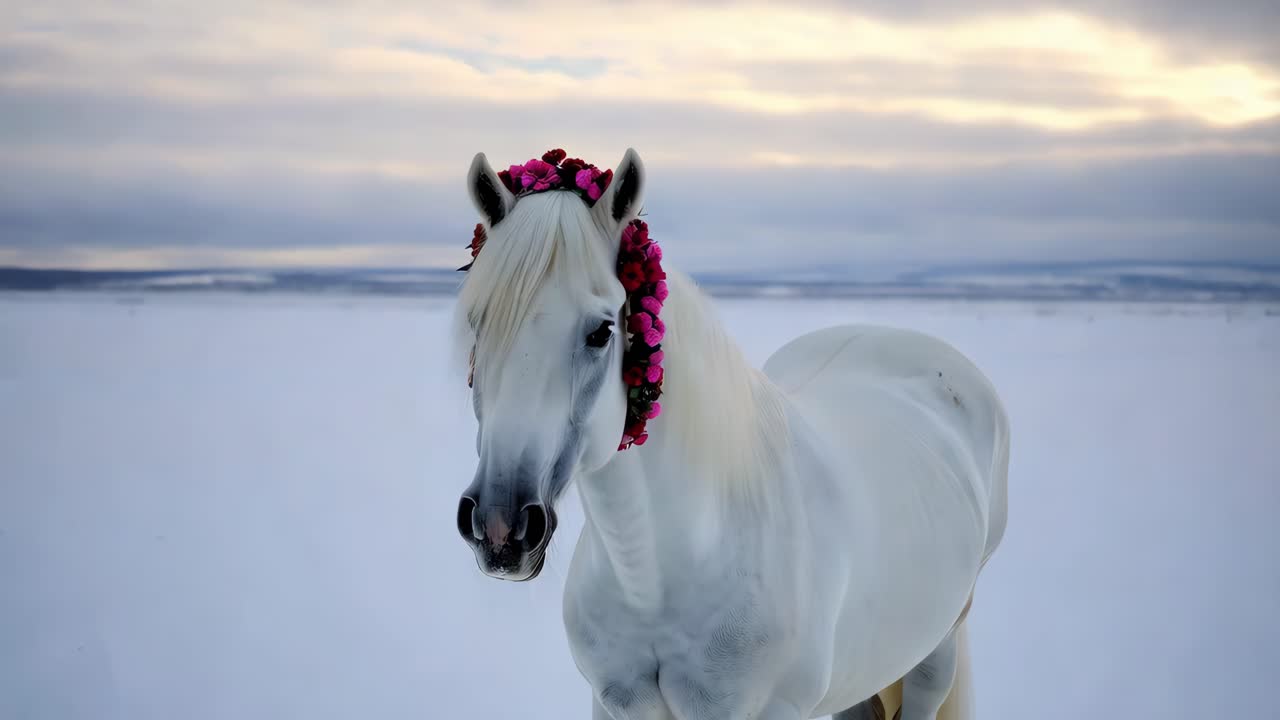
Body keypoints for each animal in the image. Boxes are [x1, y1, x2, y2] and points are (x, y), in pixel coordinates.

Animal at [451, 148, 1010, 720]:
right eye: (477, 323)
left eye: (603, 330)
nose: (500, 525)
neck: (661, 574)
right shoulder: (611, 703)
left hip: (937, 649)